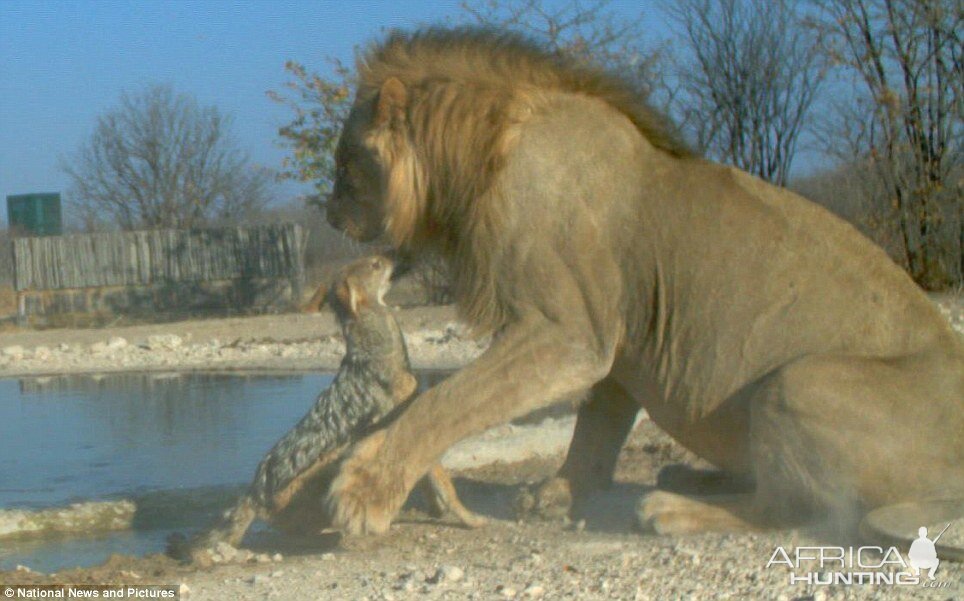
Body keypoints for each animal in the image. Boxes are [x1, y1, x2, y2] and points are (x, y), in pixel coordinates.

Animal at [322, 27, 964, 552]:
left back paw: (673, 508)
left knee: (794, 509)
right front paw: (558, 493)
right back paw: (689, 476)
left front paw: (364, 489)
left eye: (345, 163)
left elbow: (446, 401)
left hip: (799, 380)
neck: (472, 158)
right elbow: (596, 426)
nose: (329, 214)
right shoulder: (617, 335)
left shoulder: (567, 333)